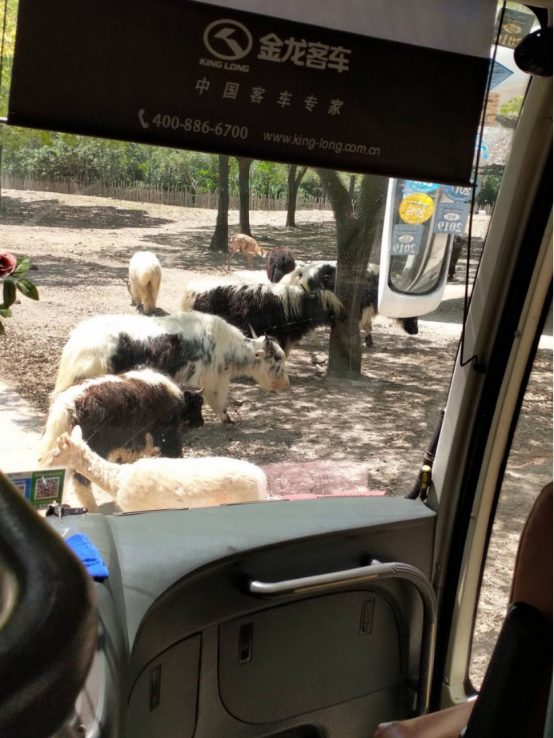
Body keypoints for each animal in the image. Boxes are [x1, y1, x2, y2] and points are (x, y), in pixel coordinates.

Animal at [39, 369, 204, 511]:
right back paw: (93, 508)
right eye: (197, 403)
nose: (201, 423)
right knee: (81, 478)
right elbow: (174, 454)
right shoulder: (168, 435)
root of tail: (66, 405)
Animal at [53, 311, 290, 423]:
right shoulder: (211, 379)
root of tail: (76, 341)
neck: (227, 345)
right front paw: (227, 419)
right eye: (277, 359)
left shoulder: (218, 378)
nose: (286, 384)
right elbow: (217, 401)